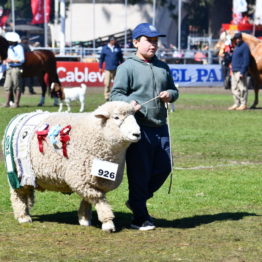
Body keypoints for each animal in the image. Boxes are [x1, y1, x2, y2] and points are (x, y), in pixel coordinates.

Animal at [2, 101, 141, 232]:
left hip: (27, 174)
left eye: (134, 116)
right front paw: (108, 223)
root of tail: (20, 116)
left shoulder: (97, 180)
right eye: (116, 117)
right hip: (16, 171)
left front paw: (84, 219)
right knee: (17, 194)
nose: (137, 134)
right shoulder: (78, 178)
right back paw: (23, 216)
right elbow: (98, 198)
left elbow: (89, 199)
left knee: (27, 191)